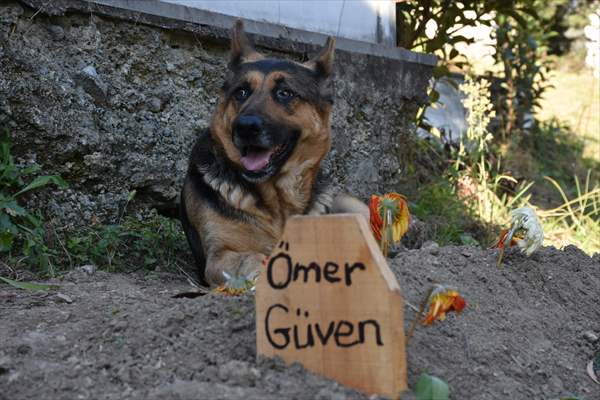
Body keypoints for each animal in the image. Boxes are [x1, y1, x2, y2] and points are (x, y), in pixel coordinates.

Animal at [179, 20, 366, 286]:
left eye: (285, 93)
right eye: (241, 92)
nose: (245, 127)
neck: (277, 203)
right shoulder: (219, 256)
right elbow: (253, 258)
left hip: (354, 206)